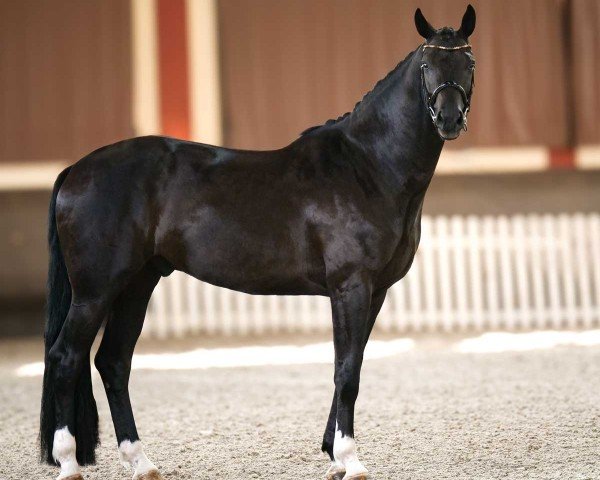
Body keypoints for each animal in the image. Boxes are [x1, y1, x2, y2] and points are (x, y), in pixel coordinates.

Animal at [39, 4, 476, 480]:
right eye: (427, 65)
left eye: (469, 63)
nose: (449, 120)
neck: (367, 166)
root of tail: (76, 170)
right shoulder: (351, 285)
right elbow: (347, 372)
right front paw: (349, 458)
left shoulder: (374, 292)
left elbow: (351, 362)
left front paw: (332, 455)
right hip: (96, 291)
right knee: (65, 358)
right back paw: (68, 462)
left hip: (137, 284)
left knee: (113, 362)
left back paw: (140, 461)